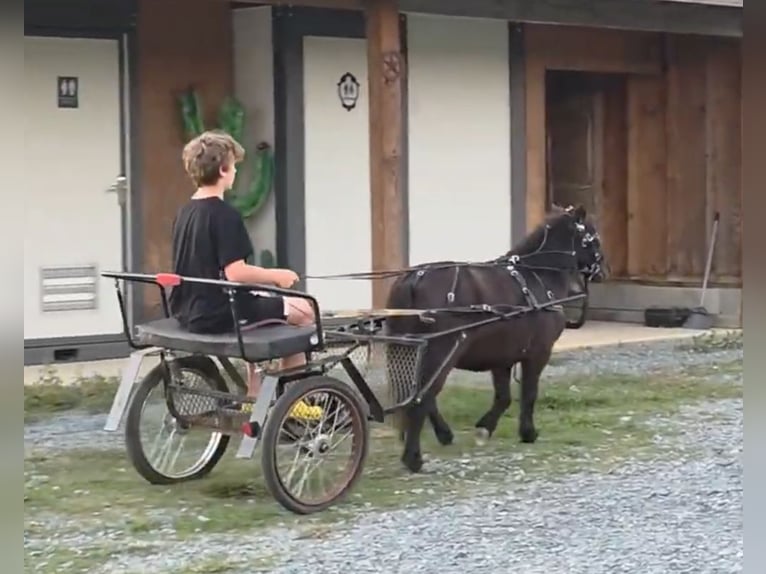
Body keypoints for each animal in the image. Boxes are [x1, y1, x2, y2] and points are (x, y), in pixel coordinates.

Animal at [383, 204, 606, 473]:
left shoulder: (502, 357)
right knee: (422, 398)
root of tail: (415, 278)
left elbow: (504, 397)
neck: (537, 277)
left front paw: (484, 428)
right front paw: (528, 432)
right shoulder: (539, 353)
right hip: (440, 352)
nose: (603, 271)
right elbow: (529, 393)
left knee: (423, 396)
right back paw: (413, 457)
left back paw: (443, 435)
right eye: (594, 236)